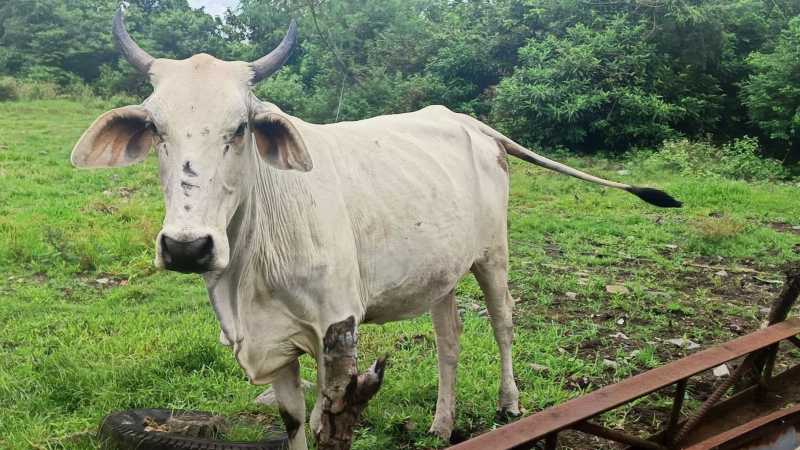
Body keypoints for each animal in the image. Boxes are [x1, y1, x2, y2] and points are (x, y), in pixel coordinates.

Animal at [71, 10, 681, 450]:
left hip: (493, 254)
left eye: (240, 128)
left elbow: (329, 423)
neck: (247, 271)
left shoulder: (337, 333)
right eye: (156, 128)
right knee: (450, 340)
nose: (187, 247)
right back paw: (441, 424)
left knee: (504, 324)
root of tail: (468, 121)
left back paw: (509, 404)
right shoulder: (277, 347)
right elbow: (294, 424)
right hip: (440, 272)